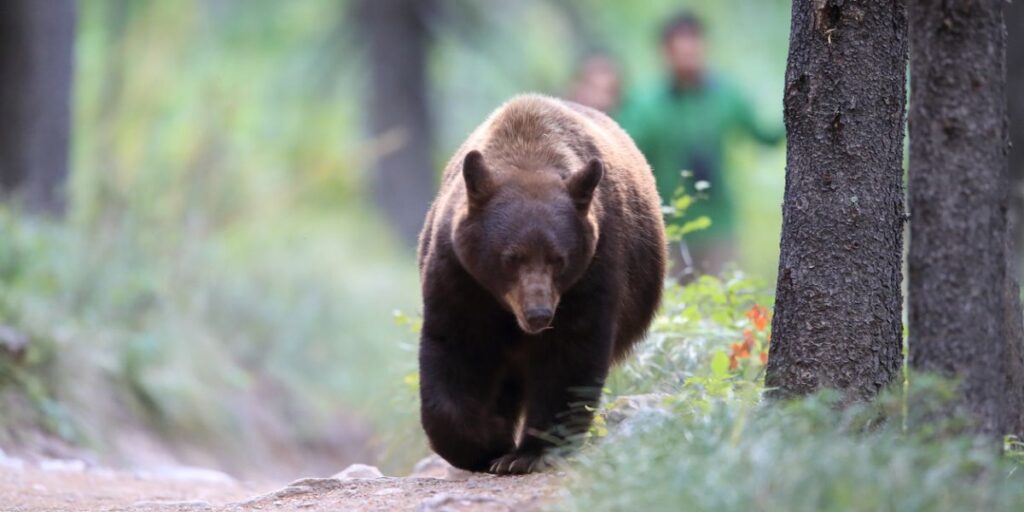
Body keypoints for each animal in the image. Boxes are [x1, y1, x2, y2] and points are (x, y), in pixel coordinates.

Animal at [416, 94, 666, 475]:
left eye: (558, 258)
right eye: (511, 257)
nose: (538, 314)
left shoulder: (594, 268)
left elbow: (569, 357)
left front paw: (526, 453)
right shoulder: (460, 275)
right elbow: (454, 346)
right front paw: (484, 442)